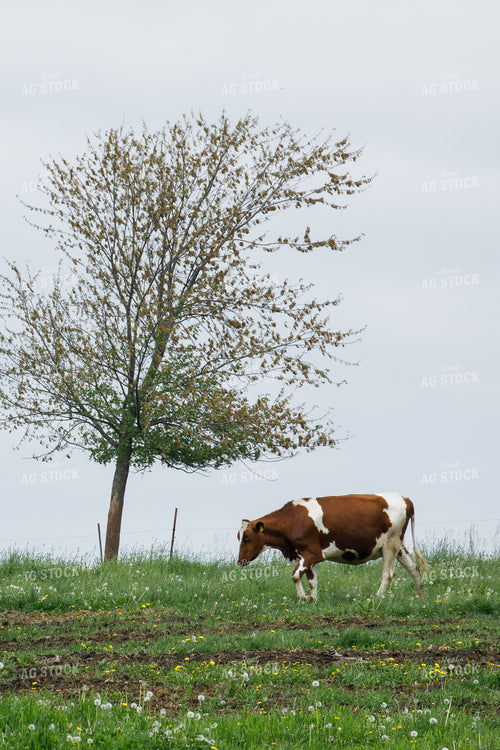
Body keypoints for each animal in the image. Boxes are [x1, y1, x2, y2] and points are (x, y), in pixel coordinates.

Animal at [237, 493, 427, 601]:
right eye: (238, 537)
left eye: (247, 538)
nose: (240, 562)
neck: (292, 520)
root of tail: (404, 498)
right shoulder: (304, 556)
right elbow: (312, 579)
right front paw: (312, 598)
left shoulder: (313, 553)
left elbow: (295, 575)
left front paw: (303, 596)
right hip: (398, 546)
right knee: (414, 567)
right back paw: (421, 595)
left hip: (390, 544)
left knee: (388, 574)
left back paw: (377, 597)